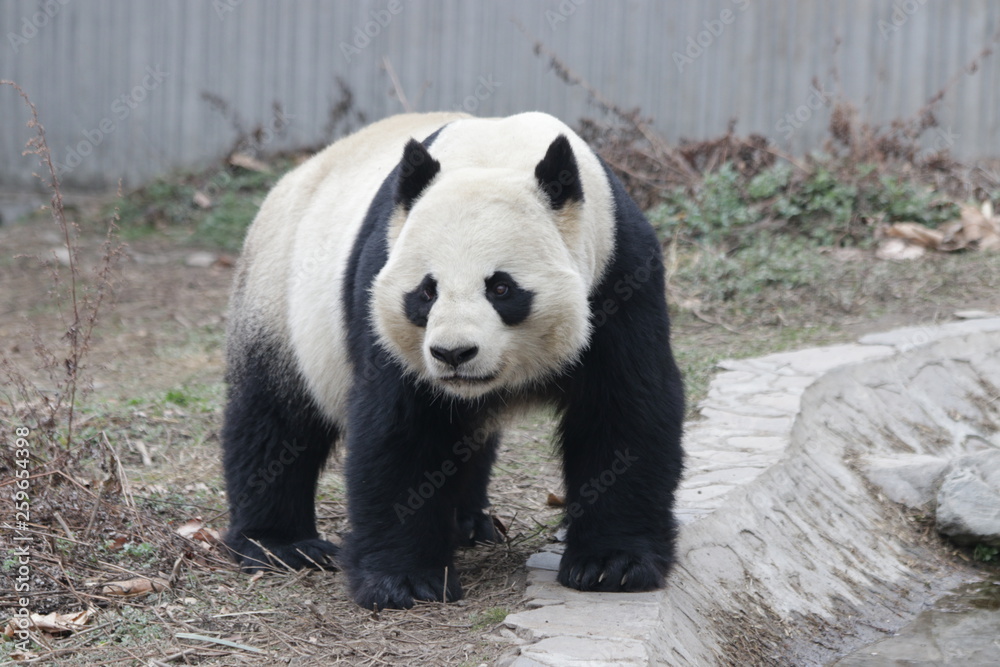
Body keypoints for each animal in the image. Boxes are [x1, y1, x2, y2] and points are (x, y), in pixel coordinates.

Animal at [222, 111, 685, 610]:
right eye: (427, 291)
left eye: (500, 287)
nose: (453, 354)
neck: (496, 153)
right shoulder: (384, 290)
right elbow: (401, 429)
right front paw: (405, 581)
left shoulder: (619, 275)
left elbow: (622, 410)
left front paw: (612, 564)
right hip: (279, 295)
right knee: (274, 420)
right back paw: (280, 544)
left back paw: (467, 523)